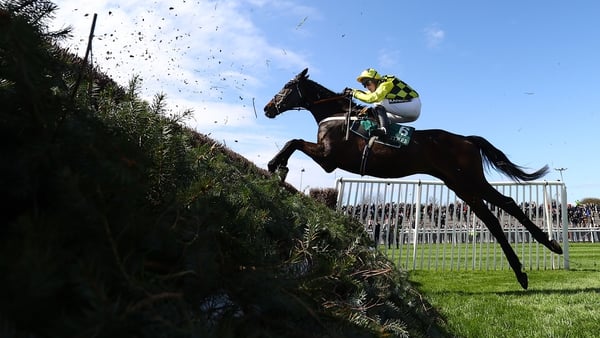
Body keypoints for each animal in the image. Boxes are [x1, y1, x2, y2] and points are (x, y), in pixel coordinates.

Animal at [262, 67, 564, 290]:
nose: (267, 108)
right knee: (496, 214)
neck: (336, 115)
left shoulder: (329, 159)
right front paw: (279, 167)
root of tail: (467, 139)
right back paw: (534, 261)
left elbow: (293, 141)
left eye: (287, 86)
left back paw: (540, 255)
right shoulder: (328, 159)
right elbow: (294, 142)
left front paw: (276, 165)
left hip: (468, 180)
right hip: (460, 185)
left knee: (503, 209)